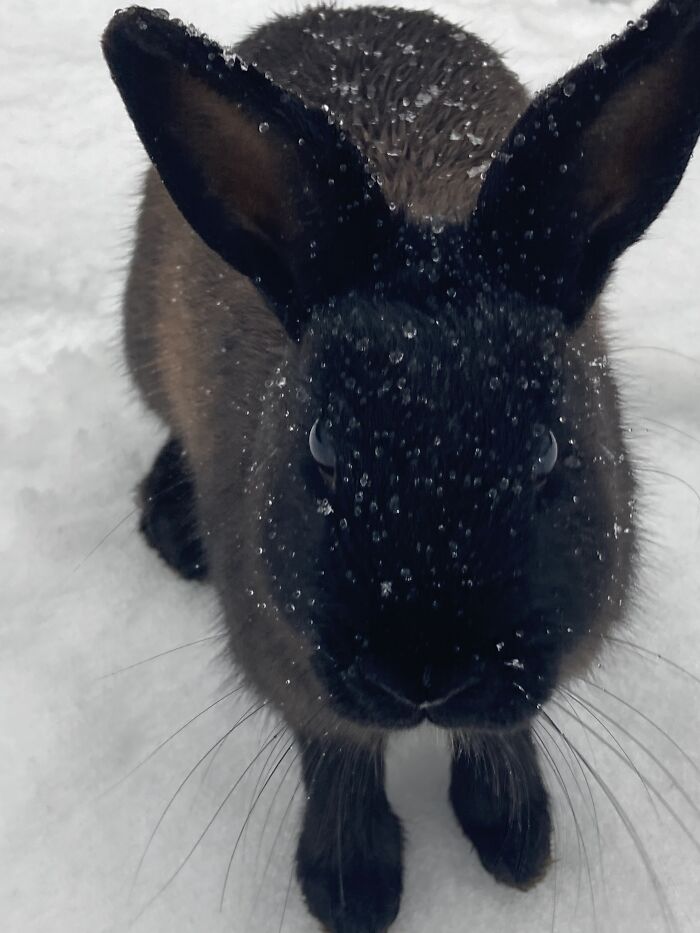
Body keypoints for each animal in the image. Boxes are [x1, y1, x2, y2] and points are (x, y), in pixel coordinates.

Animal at [102, 2, 700, 930]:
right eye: (321, 446)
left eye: (546, 449)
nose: (426, 673)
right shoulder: (288, 663)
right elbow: (338, 757)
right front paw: (351, 891)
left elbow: (496, 732)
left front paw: (517, 844)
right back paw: (172, 526)